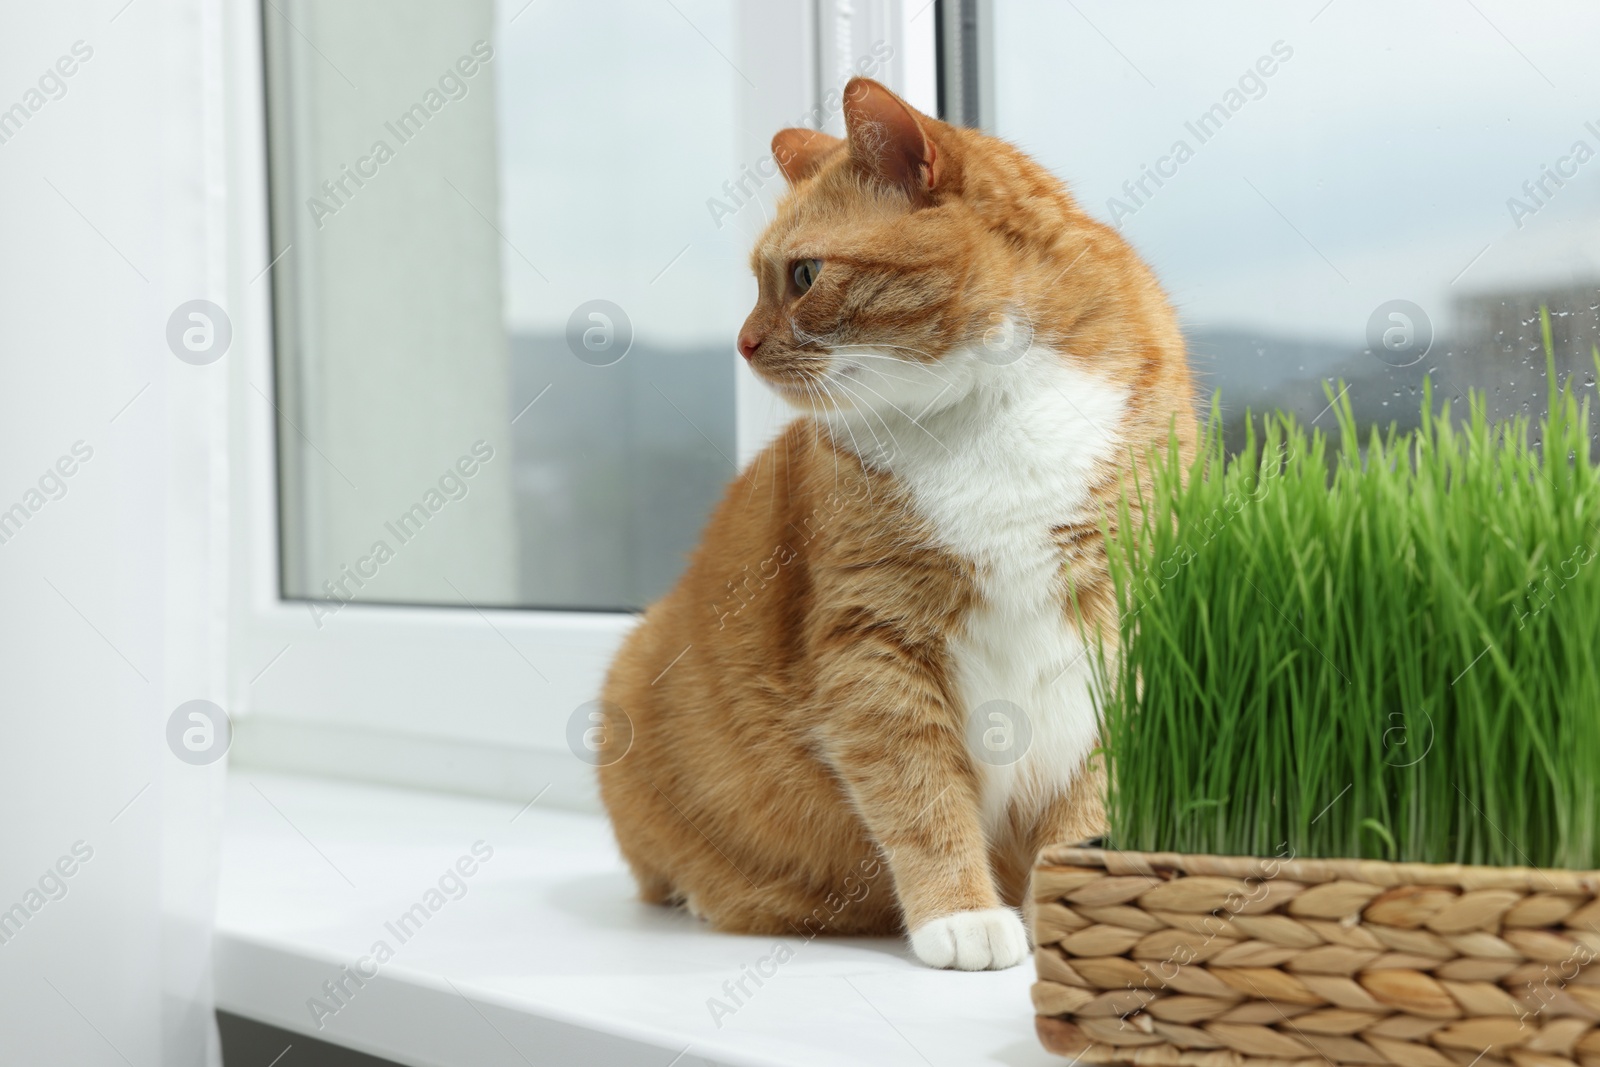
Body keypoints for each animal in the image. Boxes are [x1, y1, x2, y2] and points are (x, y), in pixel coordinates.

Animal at [598, 79, 1190, 972]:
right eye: (758, 281)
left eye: (804, 275)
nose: (743, 342)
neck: (988, 407)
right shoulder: (874, 642)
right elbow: (919, 791)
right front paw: (963, 913)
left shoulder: (1118, 620)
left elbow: (1089, 803)